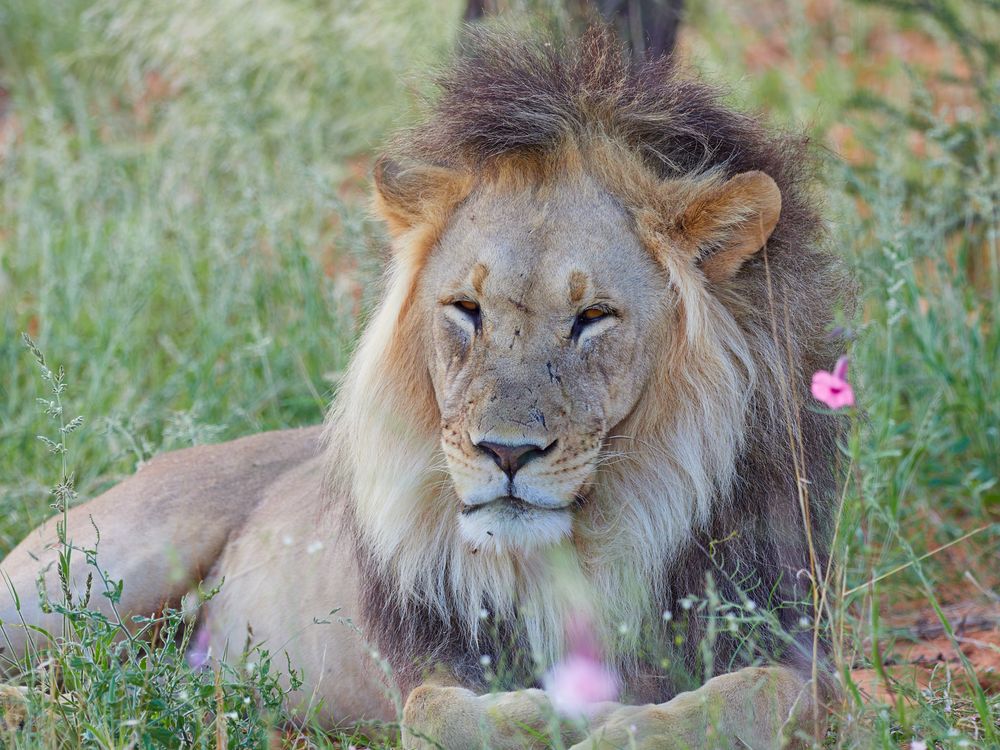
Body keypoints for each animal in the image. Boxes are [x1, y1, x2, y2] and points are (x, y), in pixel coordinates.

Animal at [3, 26, 856, 748]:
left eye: (592, 318)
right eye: (466, 309)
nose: (505, 453)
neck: (588, 548)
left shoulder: (803, 654)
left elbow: (743, 699)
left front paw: (623, 728)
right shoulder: (435, 661)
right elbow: (437, 711)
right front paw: (546, 719)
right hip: (87, 580)